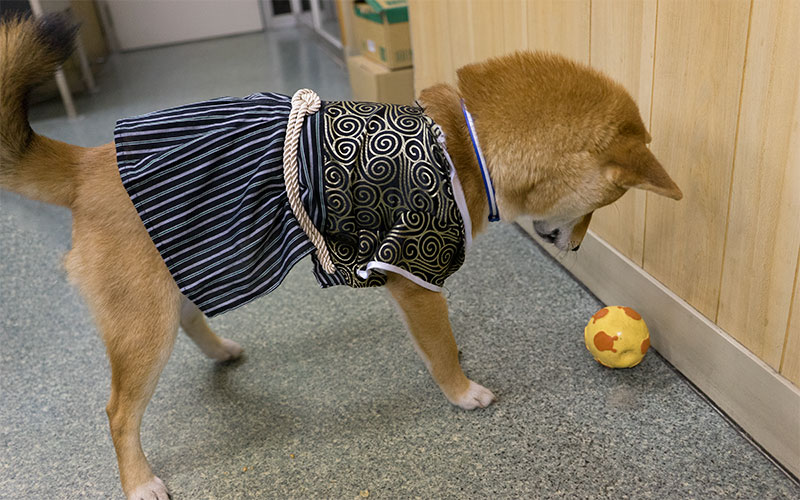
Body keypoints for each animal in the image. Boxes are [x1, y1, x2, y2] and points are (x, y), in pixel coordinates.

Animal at [0, 13, 680, 498]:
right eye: (611, 199)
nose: (577, 244)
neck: (463, 145)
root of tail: (87, 166)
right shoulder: (415, 277)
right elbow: (438, 350)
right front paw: (462, 392)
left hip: (176, 281)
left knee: (190, 317)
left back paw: (221, 351)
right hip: (143, 327)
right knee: (119, 413)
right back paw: (139, 481)